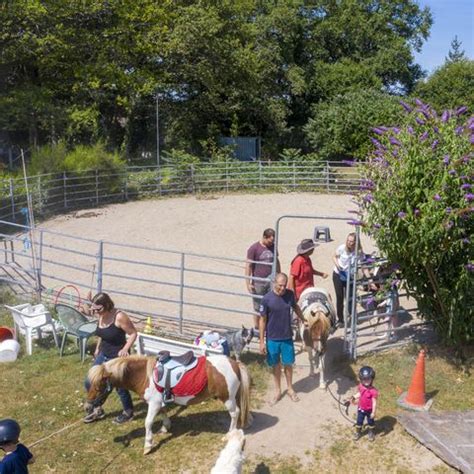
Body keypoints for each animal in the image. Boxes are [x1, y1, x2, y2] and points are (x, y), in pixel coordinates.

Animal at [84, 354, 252, 454]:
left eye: (99, 386)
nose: (87, 407)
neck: (145, 375)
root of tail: (234, 363)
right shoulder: (160, 402)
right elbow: (164, 412)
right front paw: (165, 427)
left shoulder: (153, 403)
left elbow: (148, 422)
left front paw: (148, 445)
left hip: (228, 398)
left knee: (235, 414)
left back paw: (228, 435)